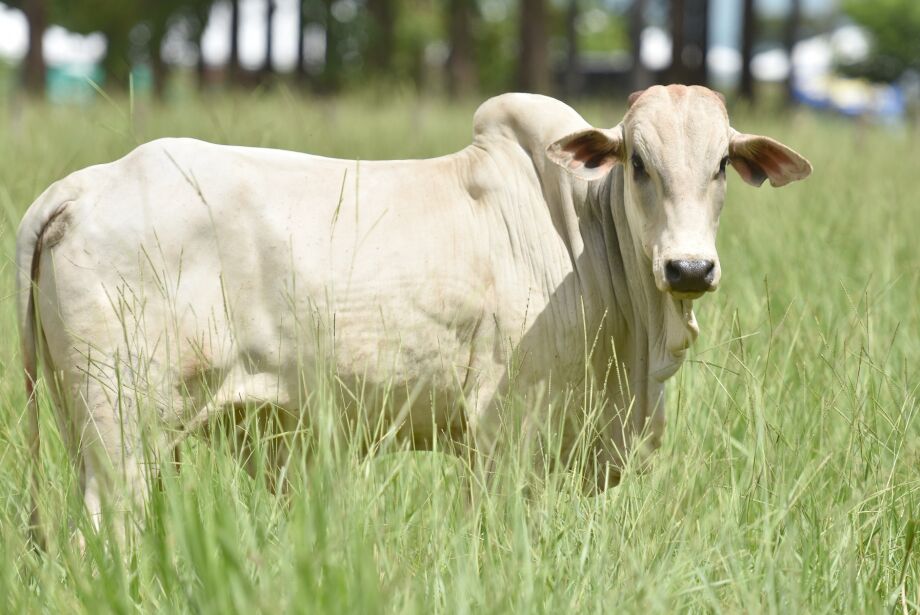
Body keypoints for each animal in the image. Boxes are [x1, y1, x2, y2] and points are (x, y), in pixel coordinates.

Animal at [18, 84, 812, 532]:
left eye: (720, 165)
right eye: (639, 163)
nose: (689, 268)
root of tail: (83, 185)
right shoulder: (505, 431)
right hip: (121, 433)